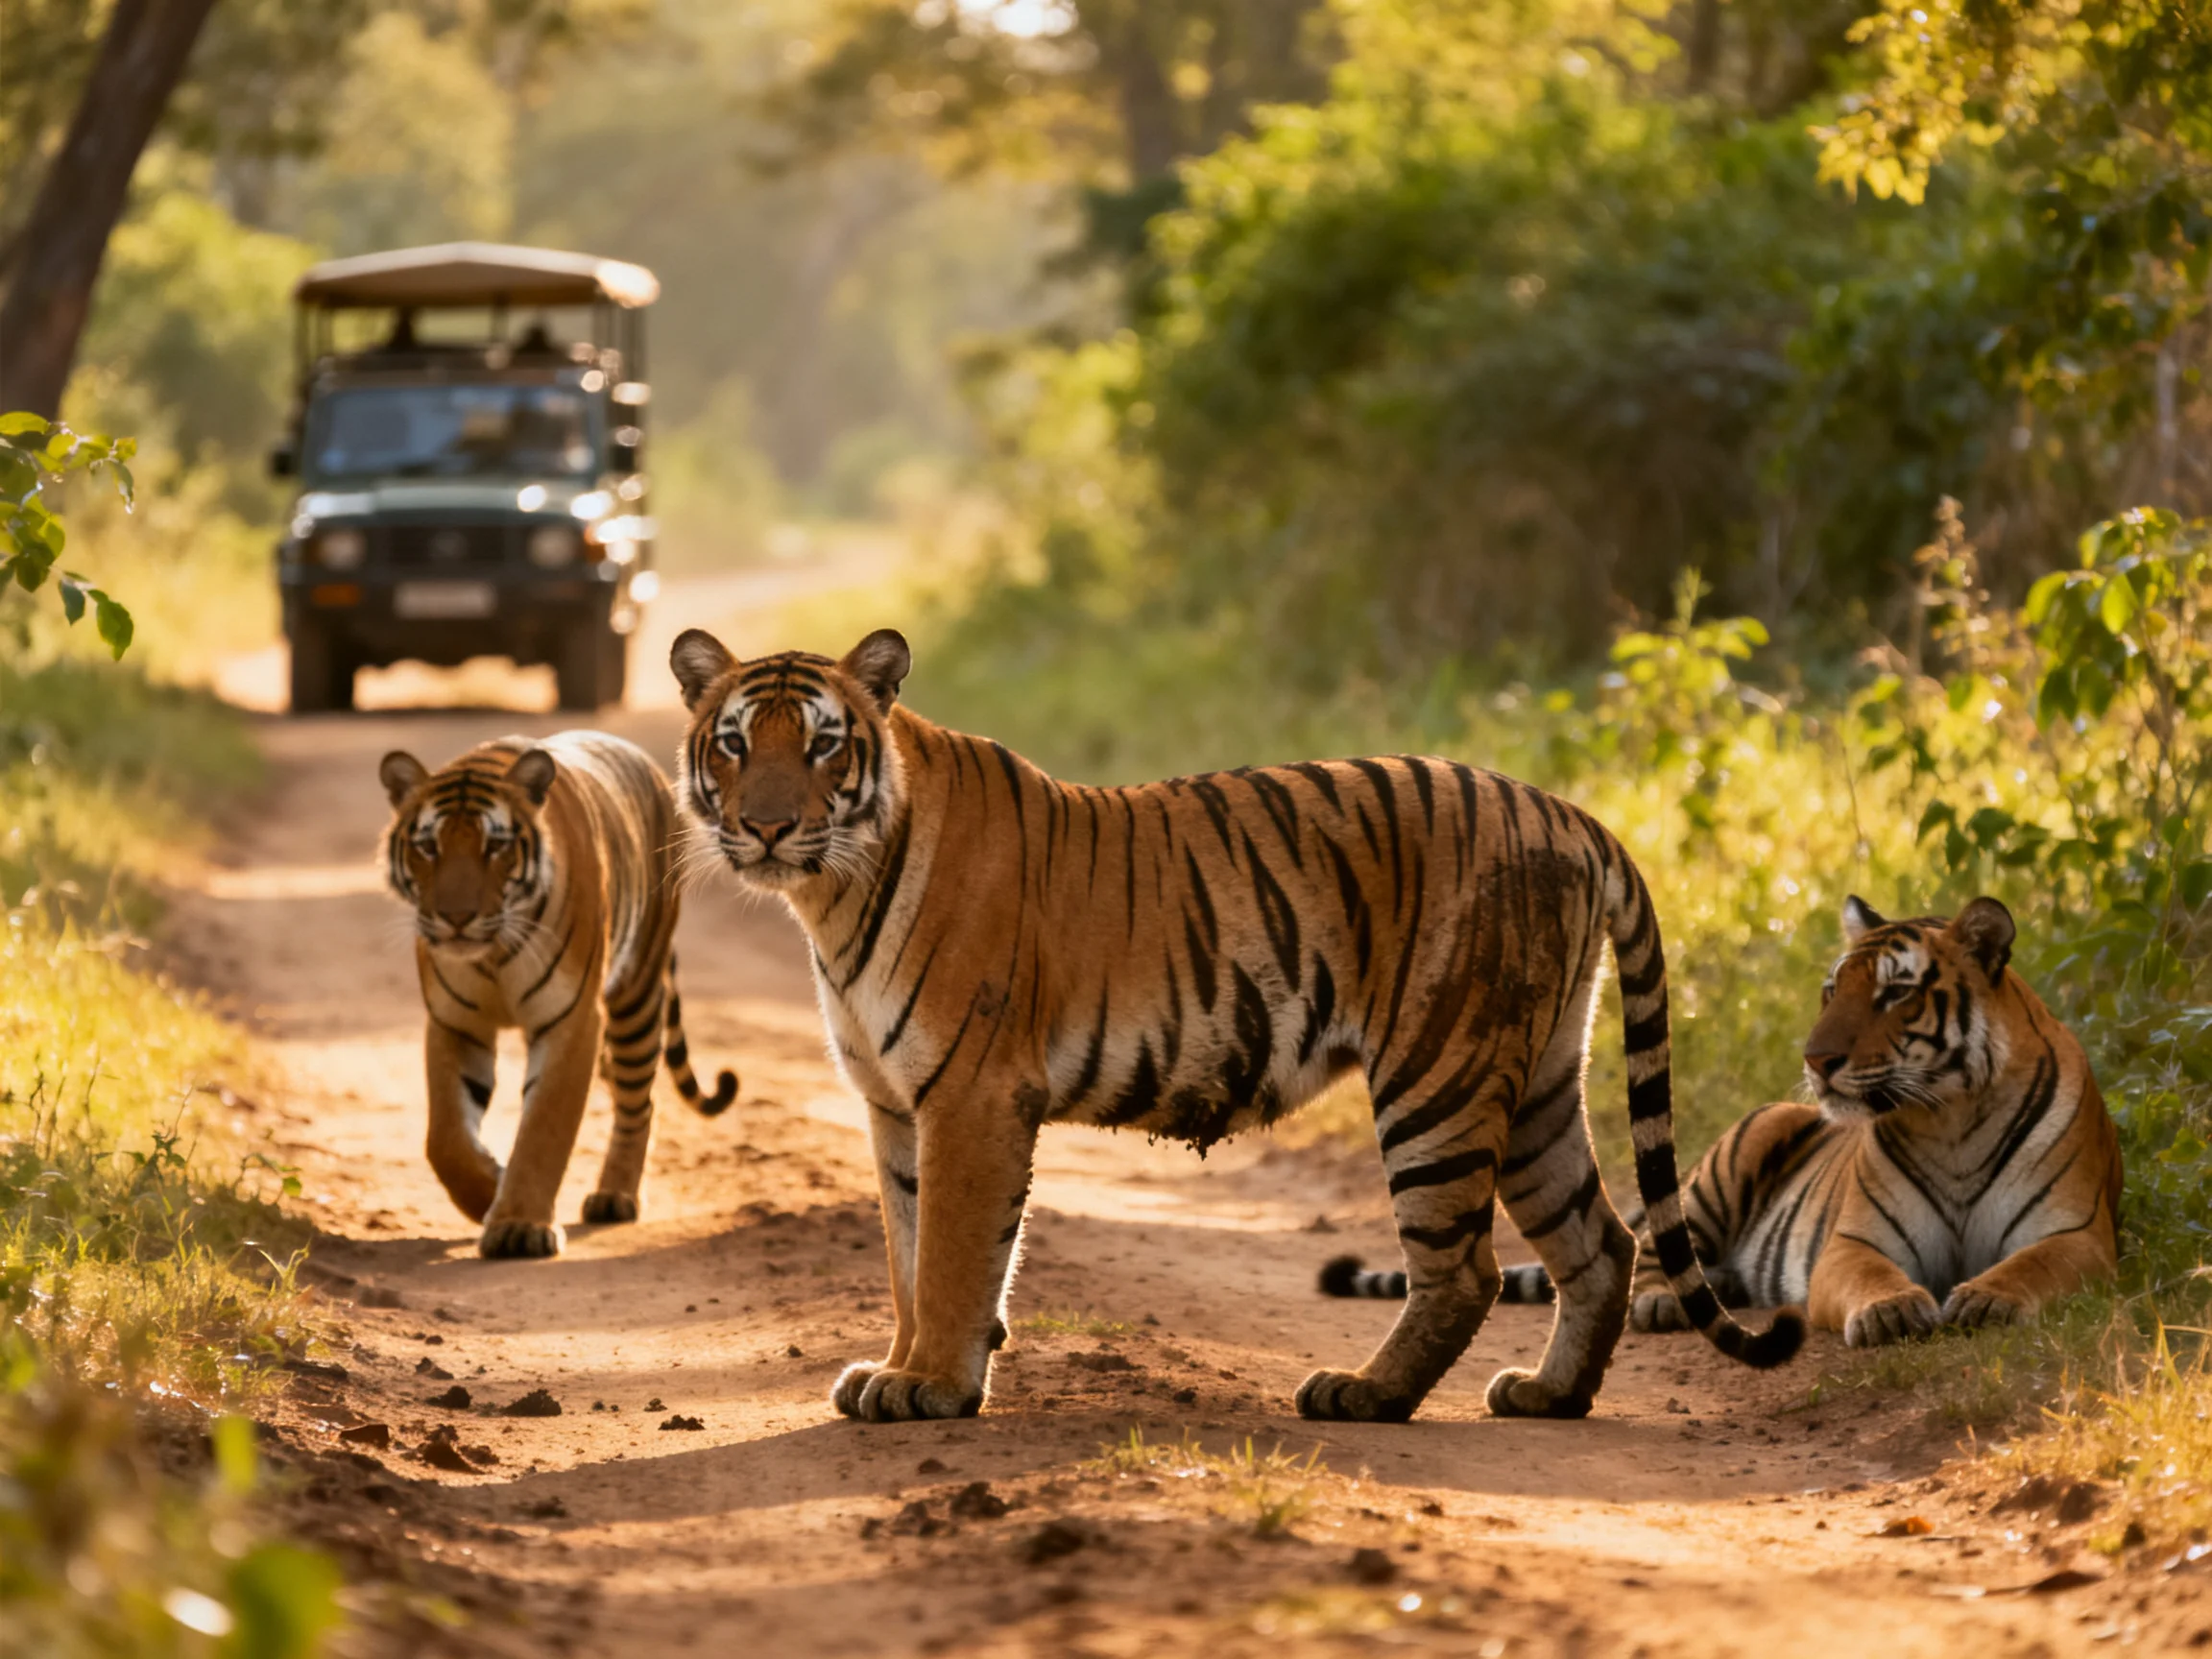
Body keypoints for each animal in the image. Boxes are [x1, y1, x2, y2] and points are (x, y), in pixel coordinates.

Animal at [378, 732, 738, 1259]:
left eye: (496, 846)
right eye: (427, 846)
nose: (456, 918)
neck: (493, 953)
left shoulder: (572, 1018)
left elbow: (545, 1126)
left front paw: (519, 1227)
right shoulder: (454, 1022)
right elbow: (445, 1138)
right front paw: (487, 1190)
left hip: (637, 994)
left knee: (641, 1101)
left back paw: (615, 1197)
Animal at [667, 624, 1802, 1424]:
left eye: (823, 744)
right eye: (733, 744)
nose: (766, 826)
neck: (832, 895)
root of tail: (1573, 814)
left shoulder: (970, 1098)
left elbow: (950, 1256)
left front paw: (933, 1387)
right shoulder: (896, 1106)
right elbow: (908, 1259)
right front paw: (902, 1368)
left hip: (1439, 1072)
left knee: (1465, 1268)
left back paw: (1366, 1395)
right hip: (1537, 1083)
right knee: (1602, 1241)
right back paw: (1550, 1395)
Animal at [1322, 895, 2122, 1346]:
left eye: (1896, 994)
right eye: (1832, 988)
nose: (1816, 1058)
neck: (1950, 1116)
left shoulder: (2078, 1235)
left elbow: (2030, 1265)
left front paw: (1985, 1297)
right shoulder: (1855, 1243)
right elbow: (1874, 1277)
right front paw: (1894, 1310)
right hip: (1727, 1163)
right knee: (1649, 1248)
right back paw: (1661, 1304)